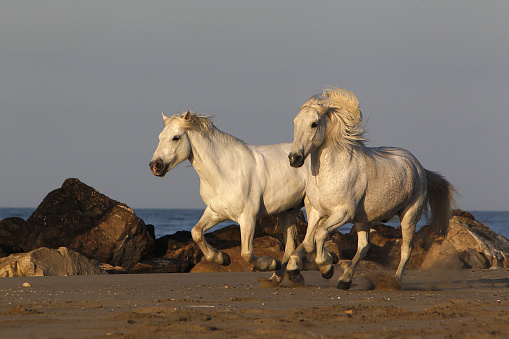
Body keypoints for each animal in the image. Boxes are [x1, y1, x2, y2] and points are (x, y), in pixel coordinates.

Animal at [149, 111, 310, 284]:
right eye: (160, 137)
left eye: (176, 137)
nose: (155, 165)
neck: (227, 172)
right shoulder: (216, 212)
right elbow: (196, 233)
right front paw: (222, 258)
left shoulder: (248, 217)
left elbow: (246, 253)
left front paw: (271, 262)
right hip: (288, 211)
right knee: (291, 245)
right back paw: (280, 277)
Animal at [286, 87, 456, 290]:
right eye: (294, 122)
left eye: (314, 124)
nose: (294, 158)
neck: (331, 173)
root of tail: (419, 166)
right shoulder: (315, 211)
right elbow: (308, 241)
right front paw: (293, 270)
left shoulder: (343, 213)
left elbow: (319, 235)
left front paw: (326, 268)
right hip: (363, 218)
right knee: (364, 246)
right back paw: (345, 280)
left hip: (409, 216)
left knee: (406, 248)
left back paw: (395, 281)